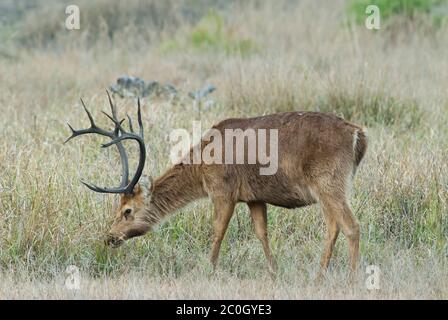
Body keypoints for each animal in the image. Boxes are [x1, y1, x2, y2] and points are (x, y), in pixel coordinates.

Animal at [66, 92, 368, 278]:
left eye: (126, 211)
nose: (109, 237)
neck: (201, 167)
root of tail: (357, 133)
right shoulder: (254, 196)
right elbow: (262, 233)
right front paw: (274, 272)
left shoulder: (222, 190)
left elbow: (217, 232)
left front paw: (207, 270)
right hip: (328, 188)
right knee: (334, 226)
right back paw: (319, 276)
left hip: (329, 180)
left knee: (351, 225)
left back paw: (351, 279)